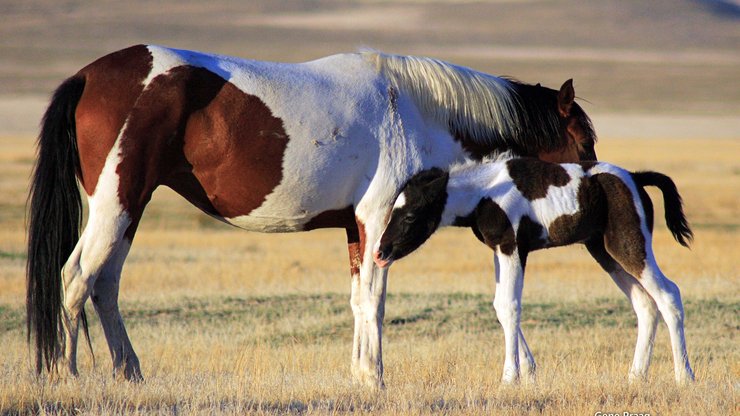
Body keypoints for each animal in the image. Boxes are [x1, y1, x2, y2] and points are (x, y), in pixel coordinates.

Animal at [26, 44, 600, 386]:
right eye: (583, 141)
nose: (593, 188)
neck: (415, 111)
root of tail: (87, 76)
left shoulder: (356, 227)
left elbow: (357, 301)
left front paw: (360, 375)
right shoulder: (378, 220)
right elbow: (375, 301)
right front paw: (375, 378)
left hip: (131, 207)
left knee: (104, 285)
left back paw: (130, 372)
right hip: (116, 204)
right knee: (76, 278)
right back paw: (67, 378)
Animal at [376, 158, 692, 386]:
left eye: (410, 216)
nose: (380, 254)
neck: (485, 193)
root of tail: (636, 178)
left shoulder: (512, 247)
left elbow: (510, 306)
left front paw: (509, 377)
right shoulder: (500, 250)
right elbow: (500, 306)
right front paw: (527, 371)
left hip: (629, 244)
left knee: (669, 294)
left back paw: (684, 376)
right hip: (604, 252)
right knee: (645, 304)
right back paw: (636, 376)